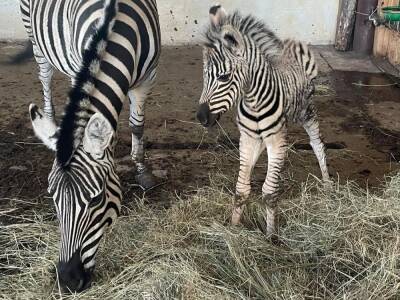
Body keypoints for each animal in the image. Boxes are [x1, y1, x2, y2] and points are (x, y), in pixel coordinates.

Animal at [17, 0, 161, 292]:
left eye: (96, 199)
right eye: (52, 197)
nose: (67, 280)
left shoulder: (147, 78)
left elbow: (136, 125)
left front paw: (142, 170)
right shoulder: (79, 67)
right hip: (36, 39)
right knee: (45, 77)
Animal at [198, 5, 332, 237]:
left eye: (224, 77)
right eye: (205, 76)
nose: (201, 117)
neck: (254, 100)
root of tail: (292, 52)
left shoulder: (276, 139)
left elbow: (269, 192)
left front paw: (271, 236)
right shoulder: (248, 137)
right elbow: (241, 189)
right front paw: (234, 228)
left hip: (307, 113)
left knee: (317, 144)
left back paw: (327, 184)